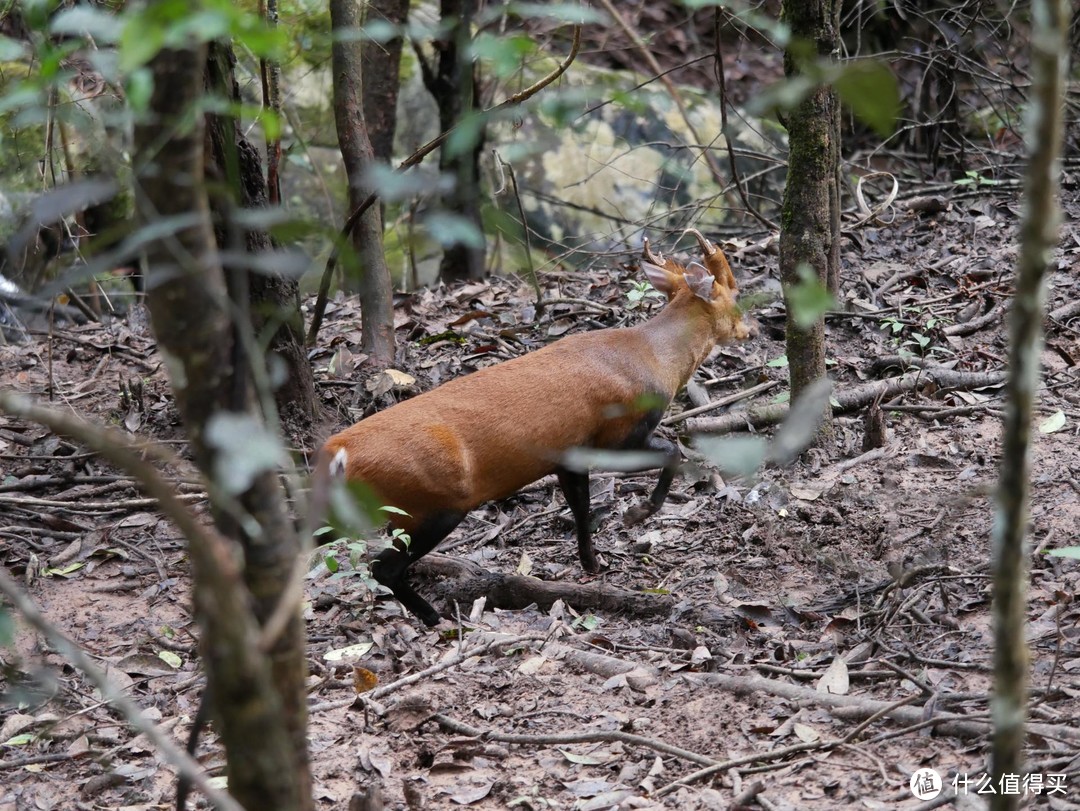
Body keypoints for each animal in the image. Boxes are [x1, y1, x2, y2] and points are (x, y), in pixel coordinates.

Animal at [319, 231, 747, 626]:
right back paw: (435, 618)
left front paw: (592, 565)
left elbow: (580, 508)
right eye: (733, 289)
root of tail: (339, 450)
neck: (655, 358)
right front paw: (637, 513)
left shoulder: (568, 454)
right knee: (384, 567)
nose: (749, 329)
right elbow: (674, 451)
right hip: (433, 501)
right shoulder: (617, 434)